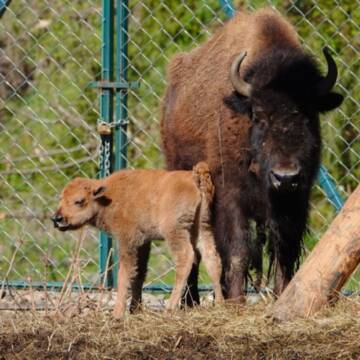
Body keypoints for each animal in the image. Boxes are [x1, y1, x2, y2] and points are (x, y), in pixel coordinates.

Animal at [52, 162, 224, 316]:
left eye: (79, 201)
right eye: (60, 199)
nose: (57, 219)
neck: (108, 197)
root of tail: (194, 177)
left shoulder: (127, 240)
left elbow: (124, 274)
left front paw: (118, 313)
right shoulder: (143, 243)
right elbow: (139, 274)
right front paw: (134, 309)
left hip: (175, 231)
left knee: (186, 258)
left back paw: (170, 307)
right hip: (202, 227)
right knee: (212, 258)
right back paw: (220, 303)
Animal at [160, 7, 344, 302]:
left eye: (309, 115)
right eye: (258, 116)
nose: (285, 176)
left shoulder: (295, 200)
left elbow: (284, 251)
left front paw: (282, 294)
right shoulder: (229, 196)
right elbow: (238, 250)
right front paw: (236, 301)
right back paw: (191, 300)